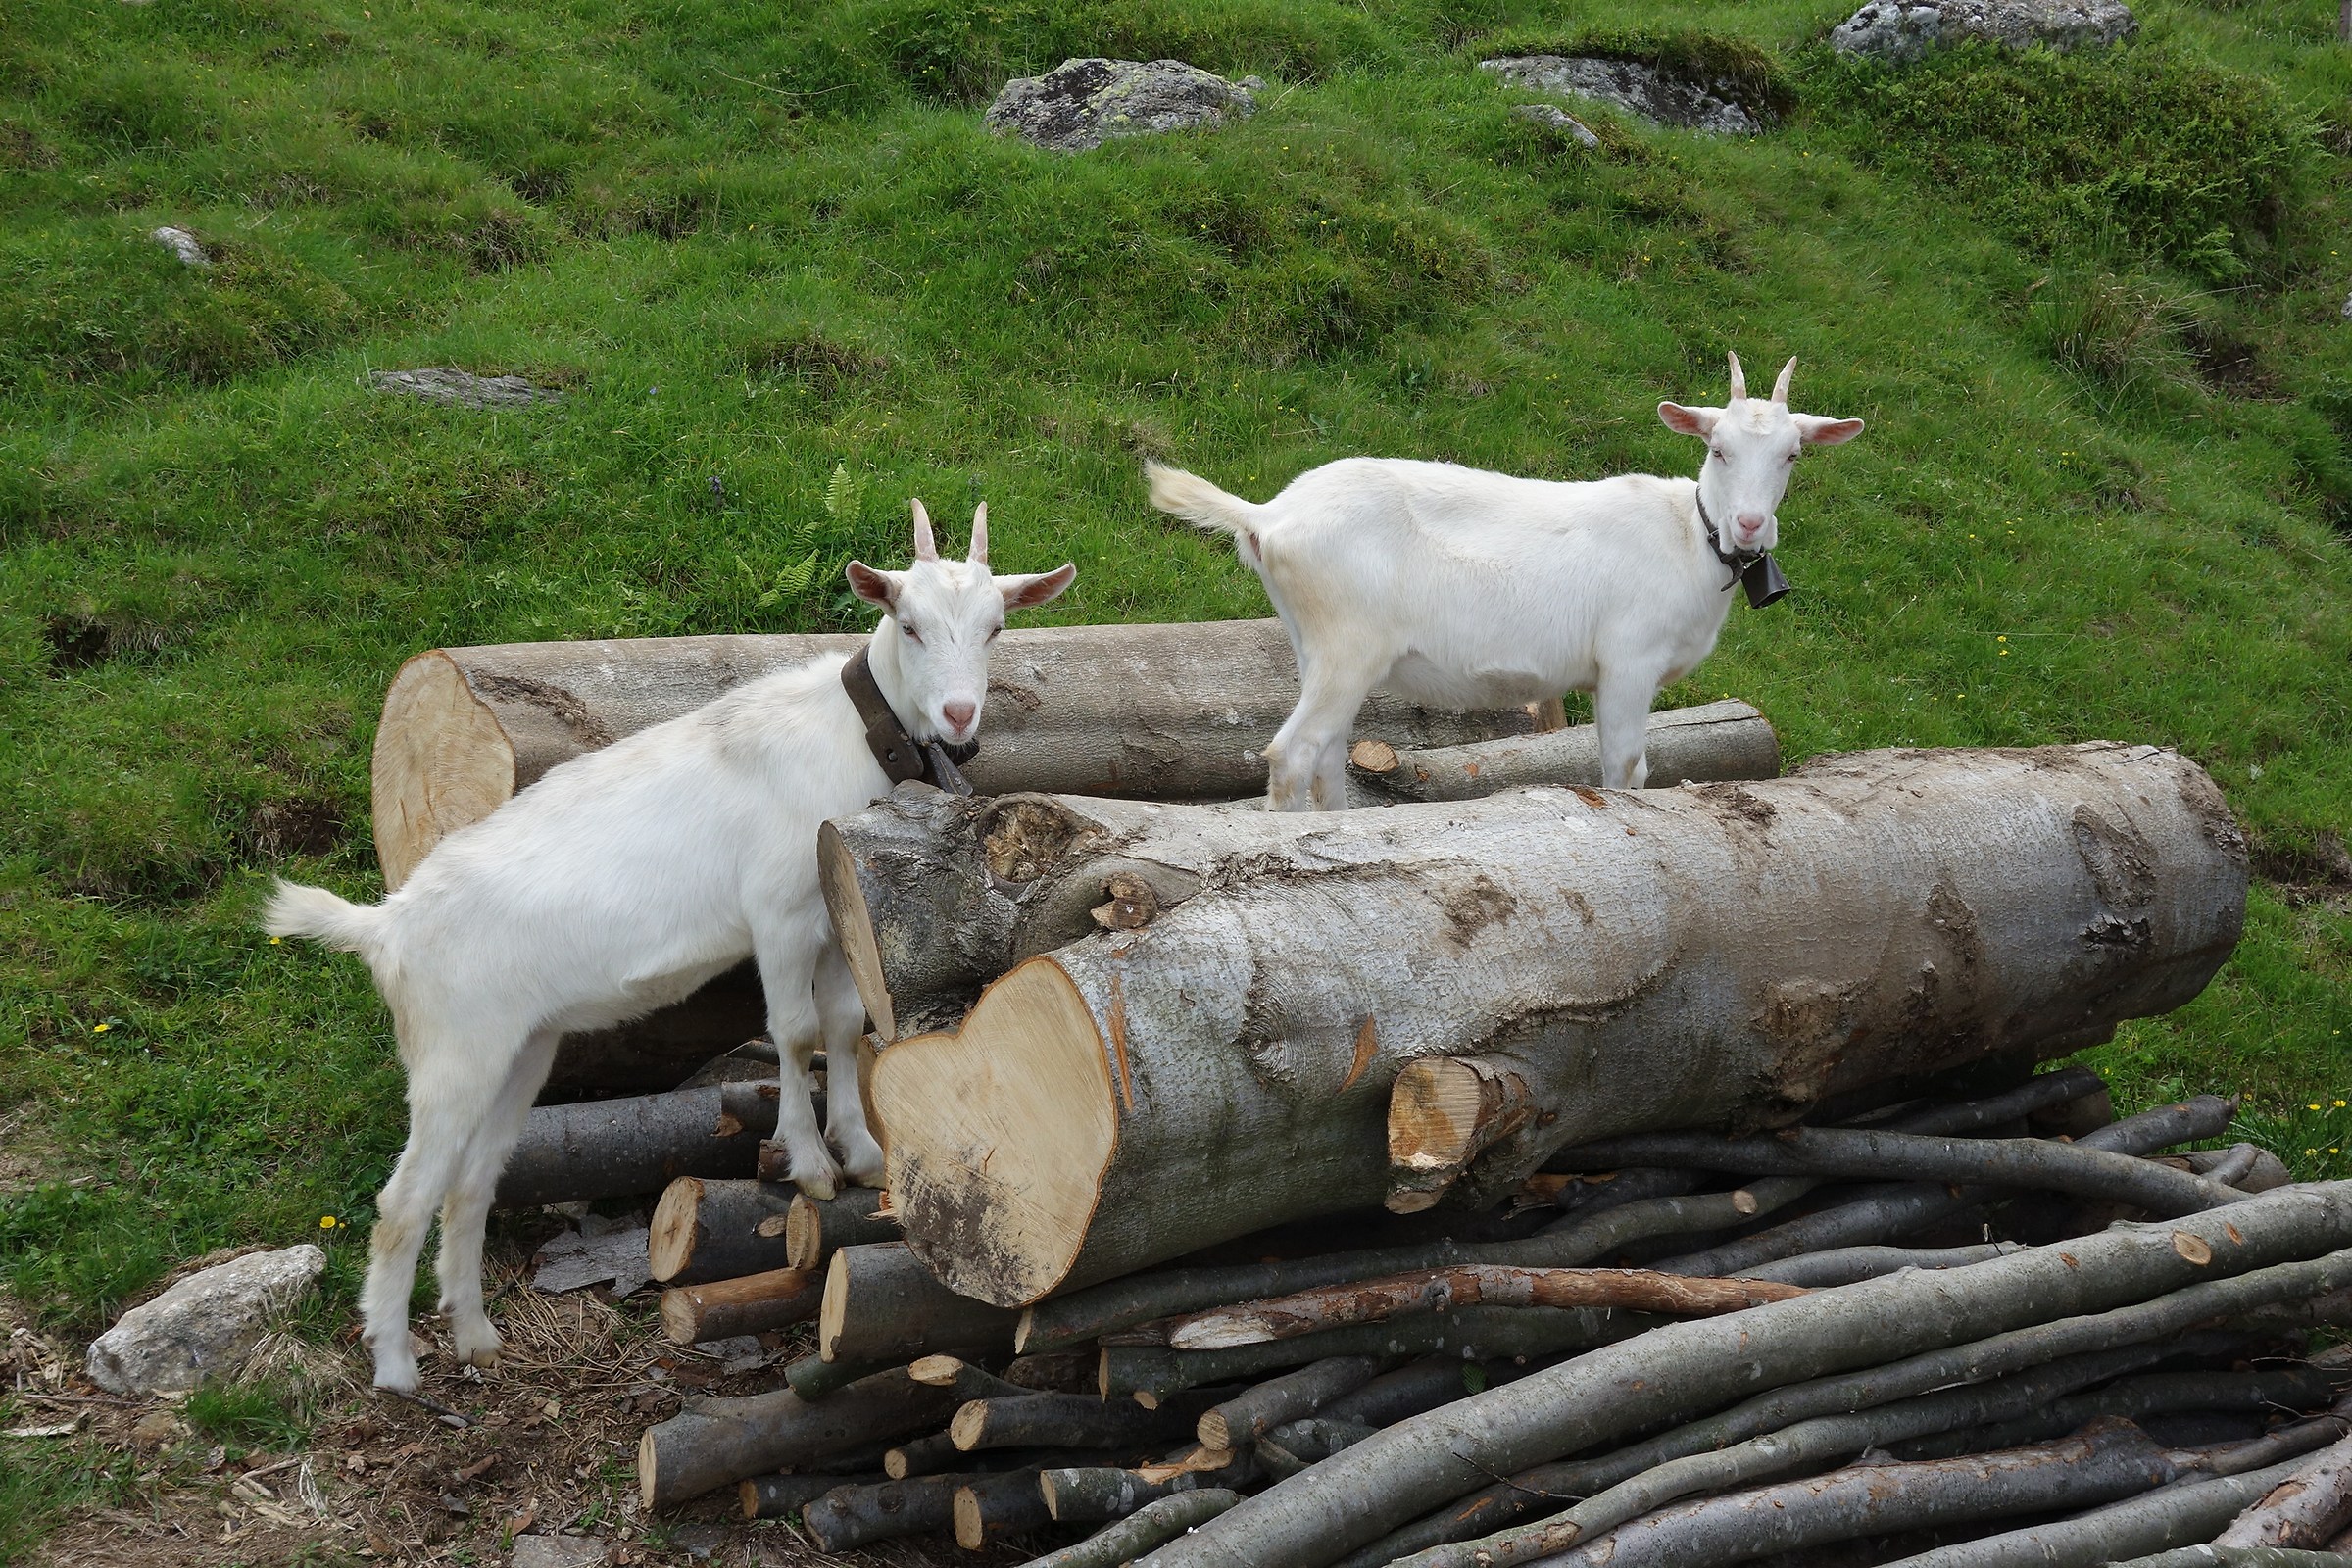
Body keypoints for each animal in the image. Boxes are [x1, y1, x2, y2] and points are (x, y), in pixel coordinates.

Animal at [264, 501, 1074, 1392]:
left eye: (997, 627)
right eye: (910, 623)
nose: (961, 717)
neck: (843, 736)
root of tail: (389, 924)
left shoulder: (835, 917)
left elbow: (842, 1027)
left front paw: (861, 1151)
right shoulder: (777, 911)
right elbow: (794, 1032)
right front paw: (810, 1163)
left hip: (518, 1049)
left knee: (469, 1185)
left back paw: (476, 1336)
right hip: (451, 1050)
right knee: (402, 1199)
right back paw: (397, 1365)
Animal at [1147, 353, 1861, 808]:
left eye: (1792, 454)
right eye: (1718, 449)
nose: (1750, 524)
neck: (1687, 536)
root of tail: (1268, 515)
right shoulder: (1629, 661)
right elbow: (1627, 770)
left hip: (1313, 644)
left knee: (1326, 757)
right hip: (1349, 642)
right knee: (1291, 754)